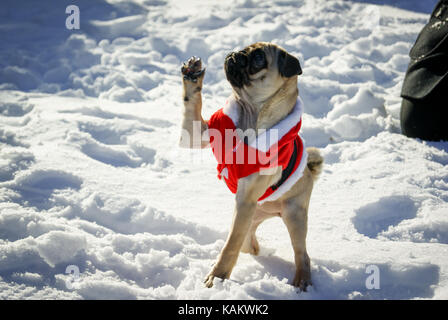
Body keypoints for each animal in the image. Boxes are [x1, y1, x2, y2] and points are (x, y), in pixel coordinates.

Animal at [178, 41, 322, 292]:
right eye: (245, 48)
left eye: (258, 59)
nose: (235, 54)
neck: (250, 115)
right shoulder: (196, 133)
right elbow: (192, 103)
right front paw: (193, 76)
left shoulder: (245, 199)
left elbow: (230, 246)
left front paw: (217, 278)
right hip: (252, 216)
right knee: (249, 244)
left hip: (292, 214)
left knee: (301, 254)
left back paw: (302, 281)